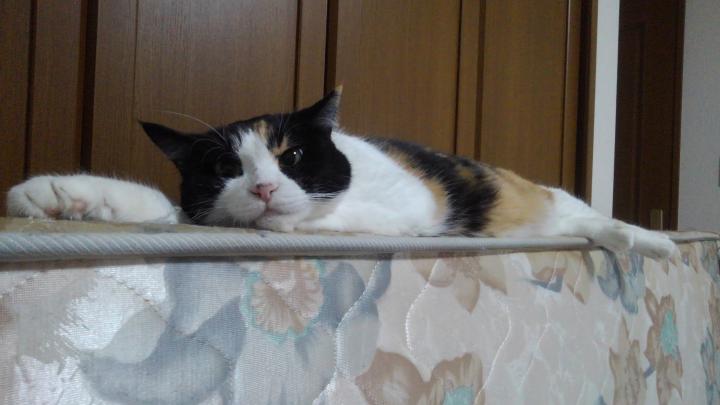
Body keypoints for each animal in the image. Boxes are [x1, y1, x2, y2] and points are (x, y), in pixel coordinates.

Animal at [6, 88, 677, 259]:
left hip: (551, 203)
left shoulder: (410, 207)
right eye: (225, 166)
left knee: (599, 220)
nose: (264, 187)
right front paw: (59, 197)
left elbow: (321, 215)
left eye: (293, 156)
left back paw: (654, 241)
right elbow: (162, 210)